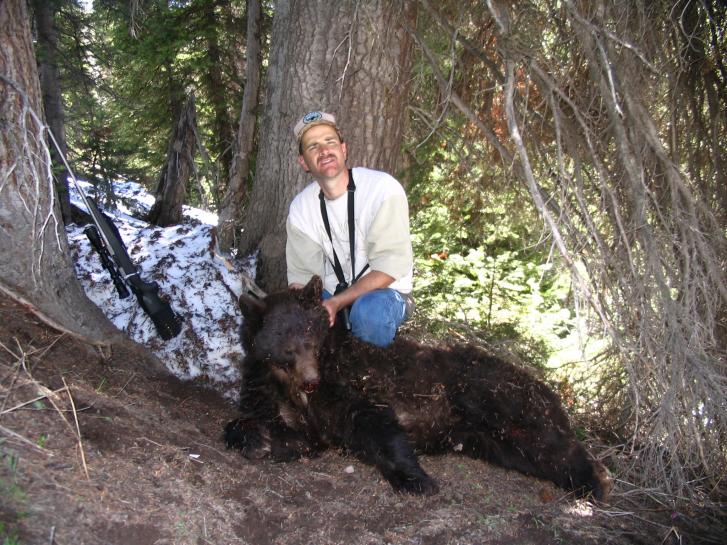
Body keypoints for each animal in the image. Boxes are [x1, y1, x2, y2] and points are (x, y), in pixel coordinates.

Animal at [224, 276, 612, 500]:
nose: (311, 379)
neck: (291, 385)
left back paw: (595, 481)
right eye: (285, 343)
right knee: (534, 453)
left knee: (550, 442)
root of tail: (548, 389)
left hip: (493, 394)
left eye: (310, 334)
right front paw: (258, 440)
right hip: (492, 440)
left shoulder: (350, 384)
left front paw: (415, 479)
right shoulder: (273, 392)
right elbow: (282, 429)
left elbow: (375, 423)